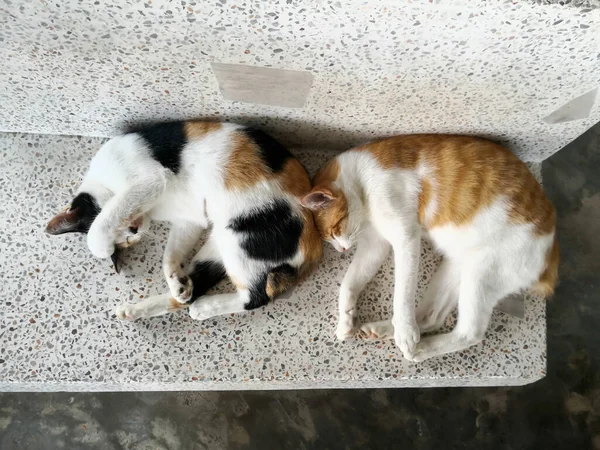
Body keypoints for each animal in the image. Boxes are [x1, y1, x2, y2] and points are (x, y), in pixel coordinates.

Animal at [45, 121, 324, 322]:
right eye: (127, 241)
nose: (134, 229)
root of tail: (315, 244)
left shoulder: (150, 179)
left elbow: (104, 219)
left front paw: (100, 244)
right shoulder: (189, 218)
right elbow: (169, 256)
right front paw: (175, 280)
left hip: (241, 236)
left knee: (256, 298)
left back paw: (205, 307)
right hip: (221, 244)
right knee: (195, 286)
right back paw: (156, 302)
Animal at [302, 134, 560, 362]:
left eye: (334, 231)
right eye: (329, 239)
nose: (341, 250)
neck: (363, 182)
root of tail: (551, 255)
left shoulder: (405, 236)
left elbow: (402, 293)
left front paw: (405, 331)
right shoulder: (375, 246)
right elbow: (348, 283)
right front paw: (345, 320)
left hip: (482, 274)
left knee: (469, 333)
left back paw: (418, 347)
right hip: (455, 268)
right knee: (431, 317)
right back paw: (389, 330)